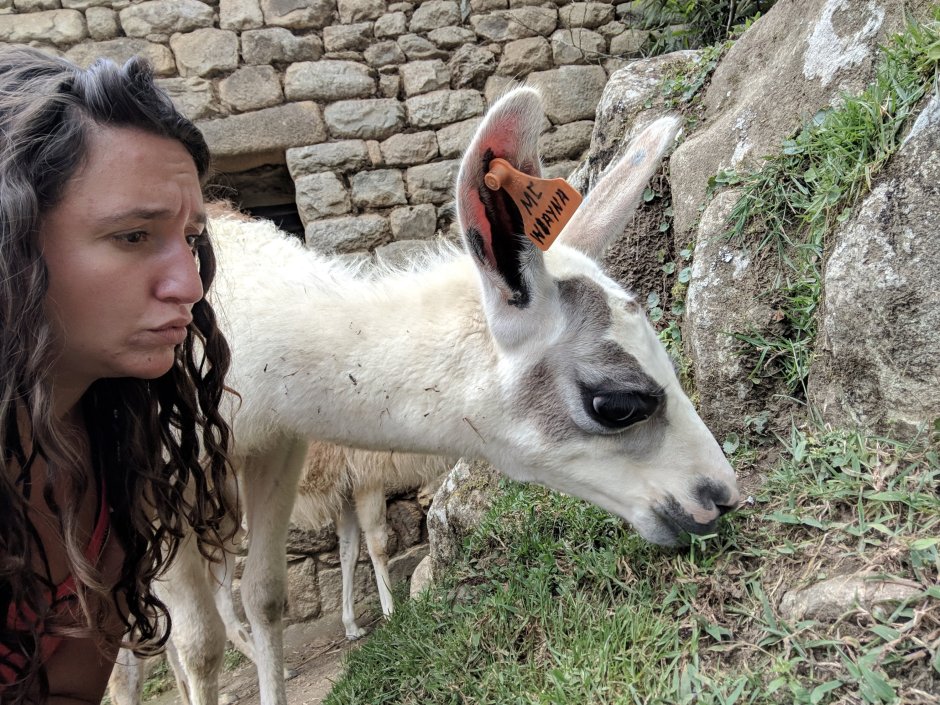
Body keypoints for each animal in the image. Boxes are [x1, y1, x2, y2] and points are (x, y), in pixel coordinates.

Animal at [114, 86, 740, 705]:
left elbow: (265, 596)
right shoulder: (149, 479)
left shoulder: (274, 444)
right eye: (615, 404)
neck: (239, 329)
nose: (722, 496)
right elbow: (198, 644)